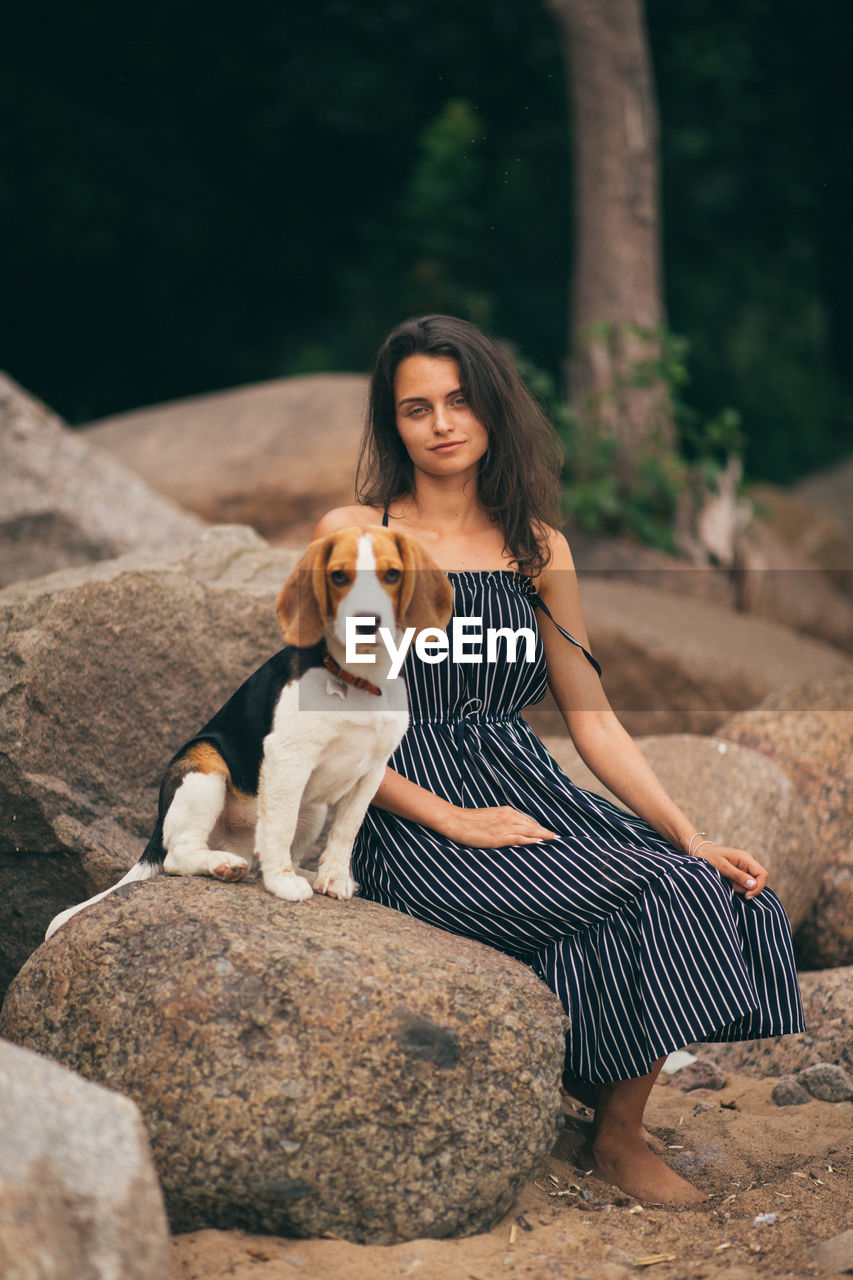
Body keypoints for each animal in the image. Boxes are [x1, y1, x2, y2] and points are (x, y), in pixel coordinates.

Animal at [46, 529, 450, 942]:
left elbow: (345, 831)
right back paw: (225, 864)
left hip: (313, 809)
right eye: (339, 576)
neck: (359, 679)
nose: (366, 622)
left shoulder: (373, 771)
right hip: (204, 769)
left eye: (392, 574)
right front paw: (283, 885)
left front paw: (334, 878)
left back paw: (300, 871)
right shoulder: (288, 757)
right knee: (179, 854)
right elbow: (280, 827)